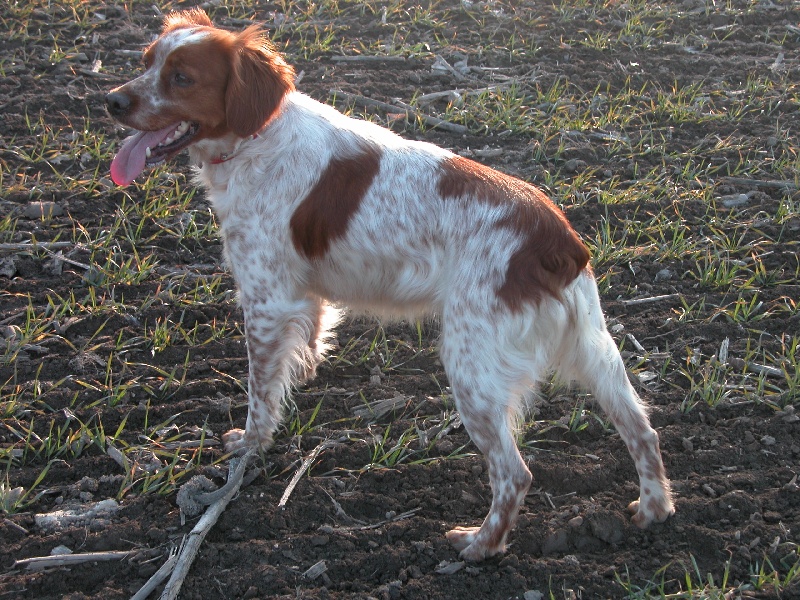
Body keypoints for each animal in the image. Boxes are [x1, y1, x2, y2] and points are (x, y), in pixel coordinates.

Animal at [103, 10, 672, 564]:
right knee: (643, 429)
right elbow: (305, 345)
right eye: (147, 61)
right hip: (596, 351)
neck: (257, 136)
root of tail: (559, 240)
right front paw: (303, 375)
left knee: (515, 474)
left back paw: (479, 545)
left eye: (182, 78)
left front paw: (249, 443)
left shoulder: (265, 298)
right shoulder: (300, 294)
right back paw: (654, 509)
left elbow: (260, 391)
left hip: (472, 366)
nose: (113, 101)